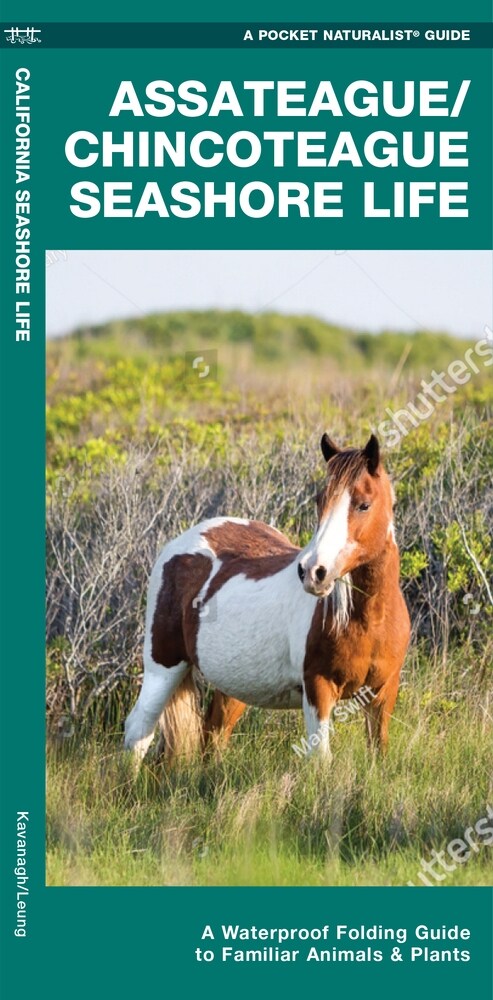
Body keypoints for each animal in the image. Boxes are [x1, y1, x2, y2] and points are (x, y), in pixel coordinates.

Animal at [125, 432, 410, 764]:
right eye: (320, 500)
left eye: (364, 505)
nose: (314, 571)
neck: (369, 620)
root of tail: (181, 543)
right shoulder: (318, 690)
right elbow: (321, 759)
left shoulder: (382, 694)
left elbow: (378, 751)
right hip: (163, 665)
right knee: (139, 732)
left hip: (231, 683)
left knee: (214, 732)